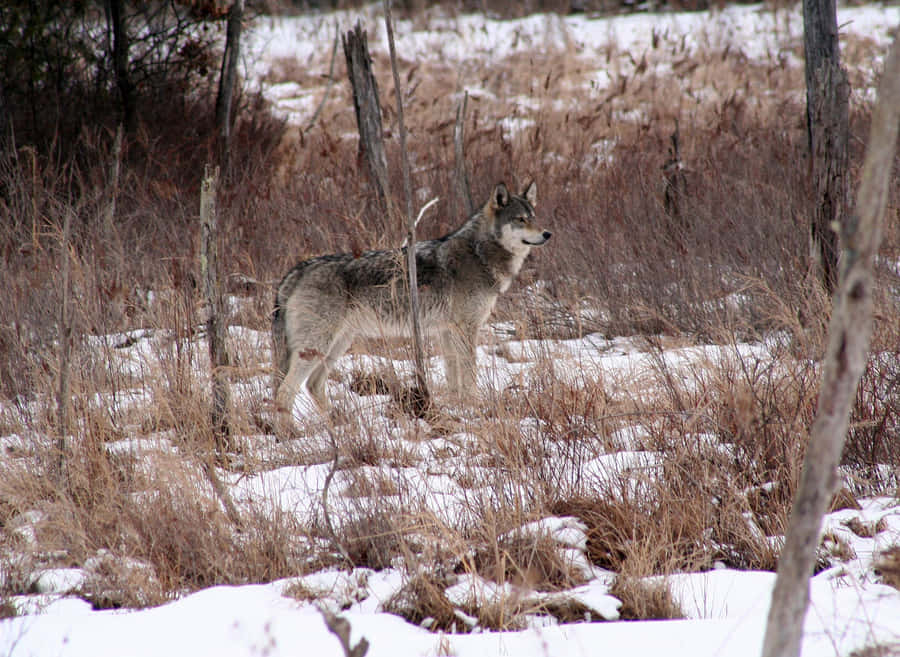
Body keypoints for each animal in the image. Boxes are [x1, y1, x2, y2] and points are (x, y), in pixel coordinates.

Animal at [271, 181, 550, 414]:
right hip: (317, 347)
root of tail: (296, 271)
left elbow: (454, 380)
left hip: (338, 344)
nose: (547, 234)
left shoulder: (447, 332)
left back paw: (338, 424)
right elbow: (469, 376)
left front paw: (459, 409)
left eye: (534, 217)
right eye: (520, 219)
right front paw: (476, 408)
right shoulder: (465, 330)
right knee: (285, 392)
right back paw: (290, 434)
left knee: (313, 385)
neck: (479, 253)